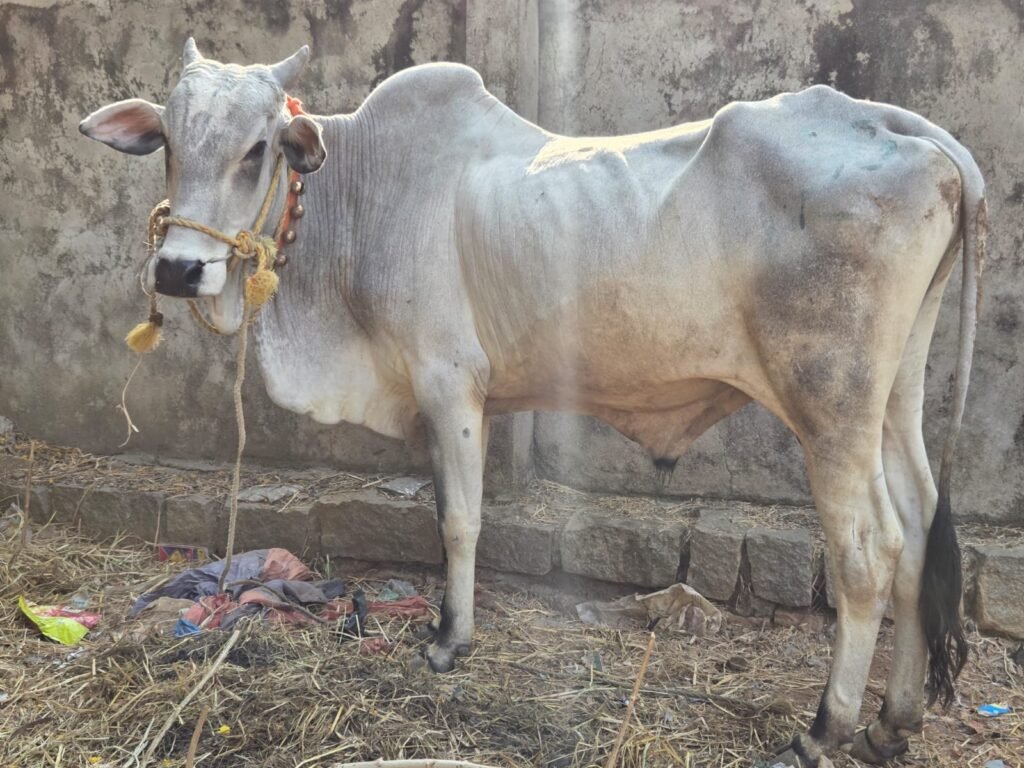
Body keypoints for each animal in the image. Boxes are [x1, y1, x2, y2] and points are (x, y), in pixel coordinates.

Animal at [80, 39, 986, 767]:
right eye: (168, 141)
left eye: (258, 148)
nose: (178, 269)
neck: (360, 190)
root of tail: (910, 130)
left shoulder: (449, 383)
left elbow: (458, 520)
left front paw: (450, 641)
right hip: (892, 399)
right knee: (917, 540)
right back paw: (893, 722)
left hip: (830, 407)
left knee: (869, 556)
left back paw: (825, 728)